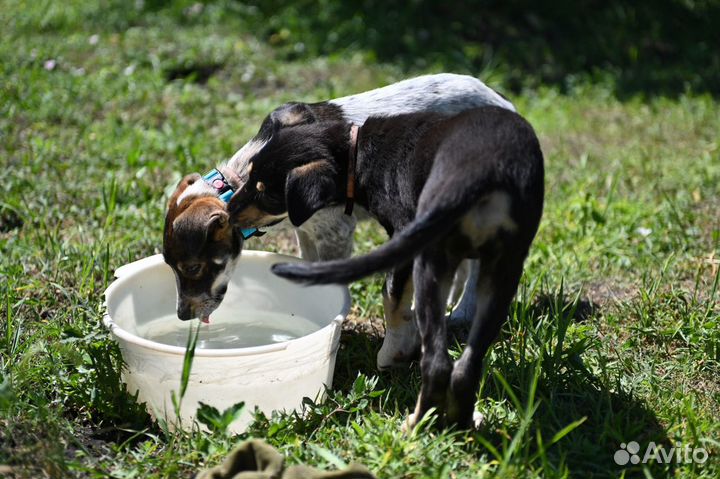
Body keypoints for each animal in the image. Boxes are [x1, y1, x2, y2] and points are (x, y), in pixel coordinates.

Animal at [163, 74, 516, 368]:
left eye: (192, 268)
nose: (181, 315)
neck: (239, 179)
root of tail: (506, 104)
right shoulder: (307, 232)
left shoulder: (335, 232)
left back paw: (464, 310)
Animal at [226, 107, 544, 430]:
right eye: (250, 175)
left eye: (265, 192)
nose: (227, 212)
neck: (358, 154)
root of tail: (482, 173)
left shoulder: (405, 232)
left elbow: (391, 294)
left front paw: (393, 353)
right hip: (503, 269)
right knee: (467, 365)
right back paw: (461, 423)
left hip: (432, 257)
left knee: (438, 364)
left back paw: (416, 425)